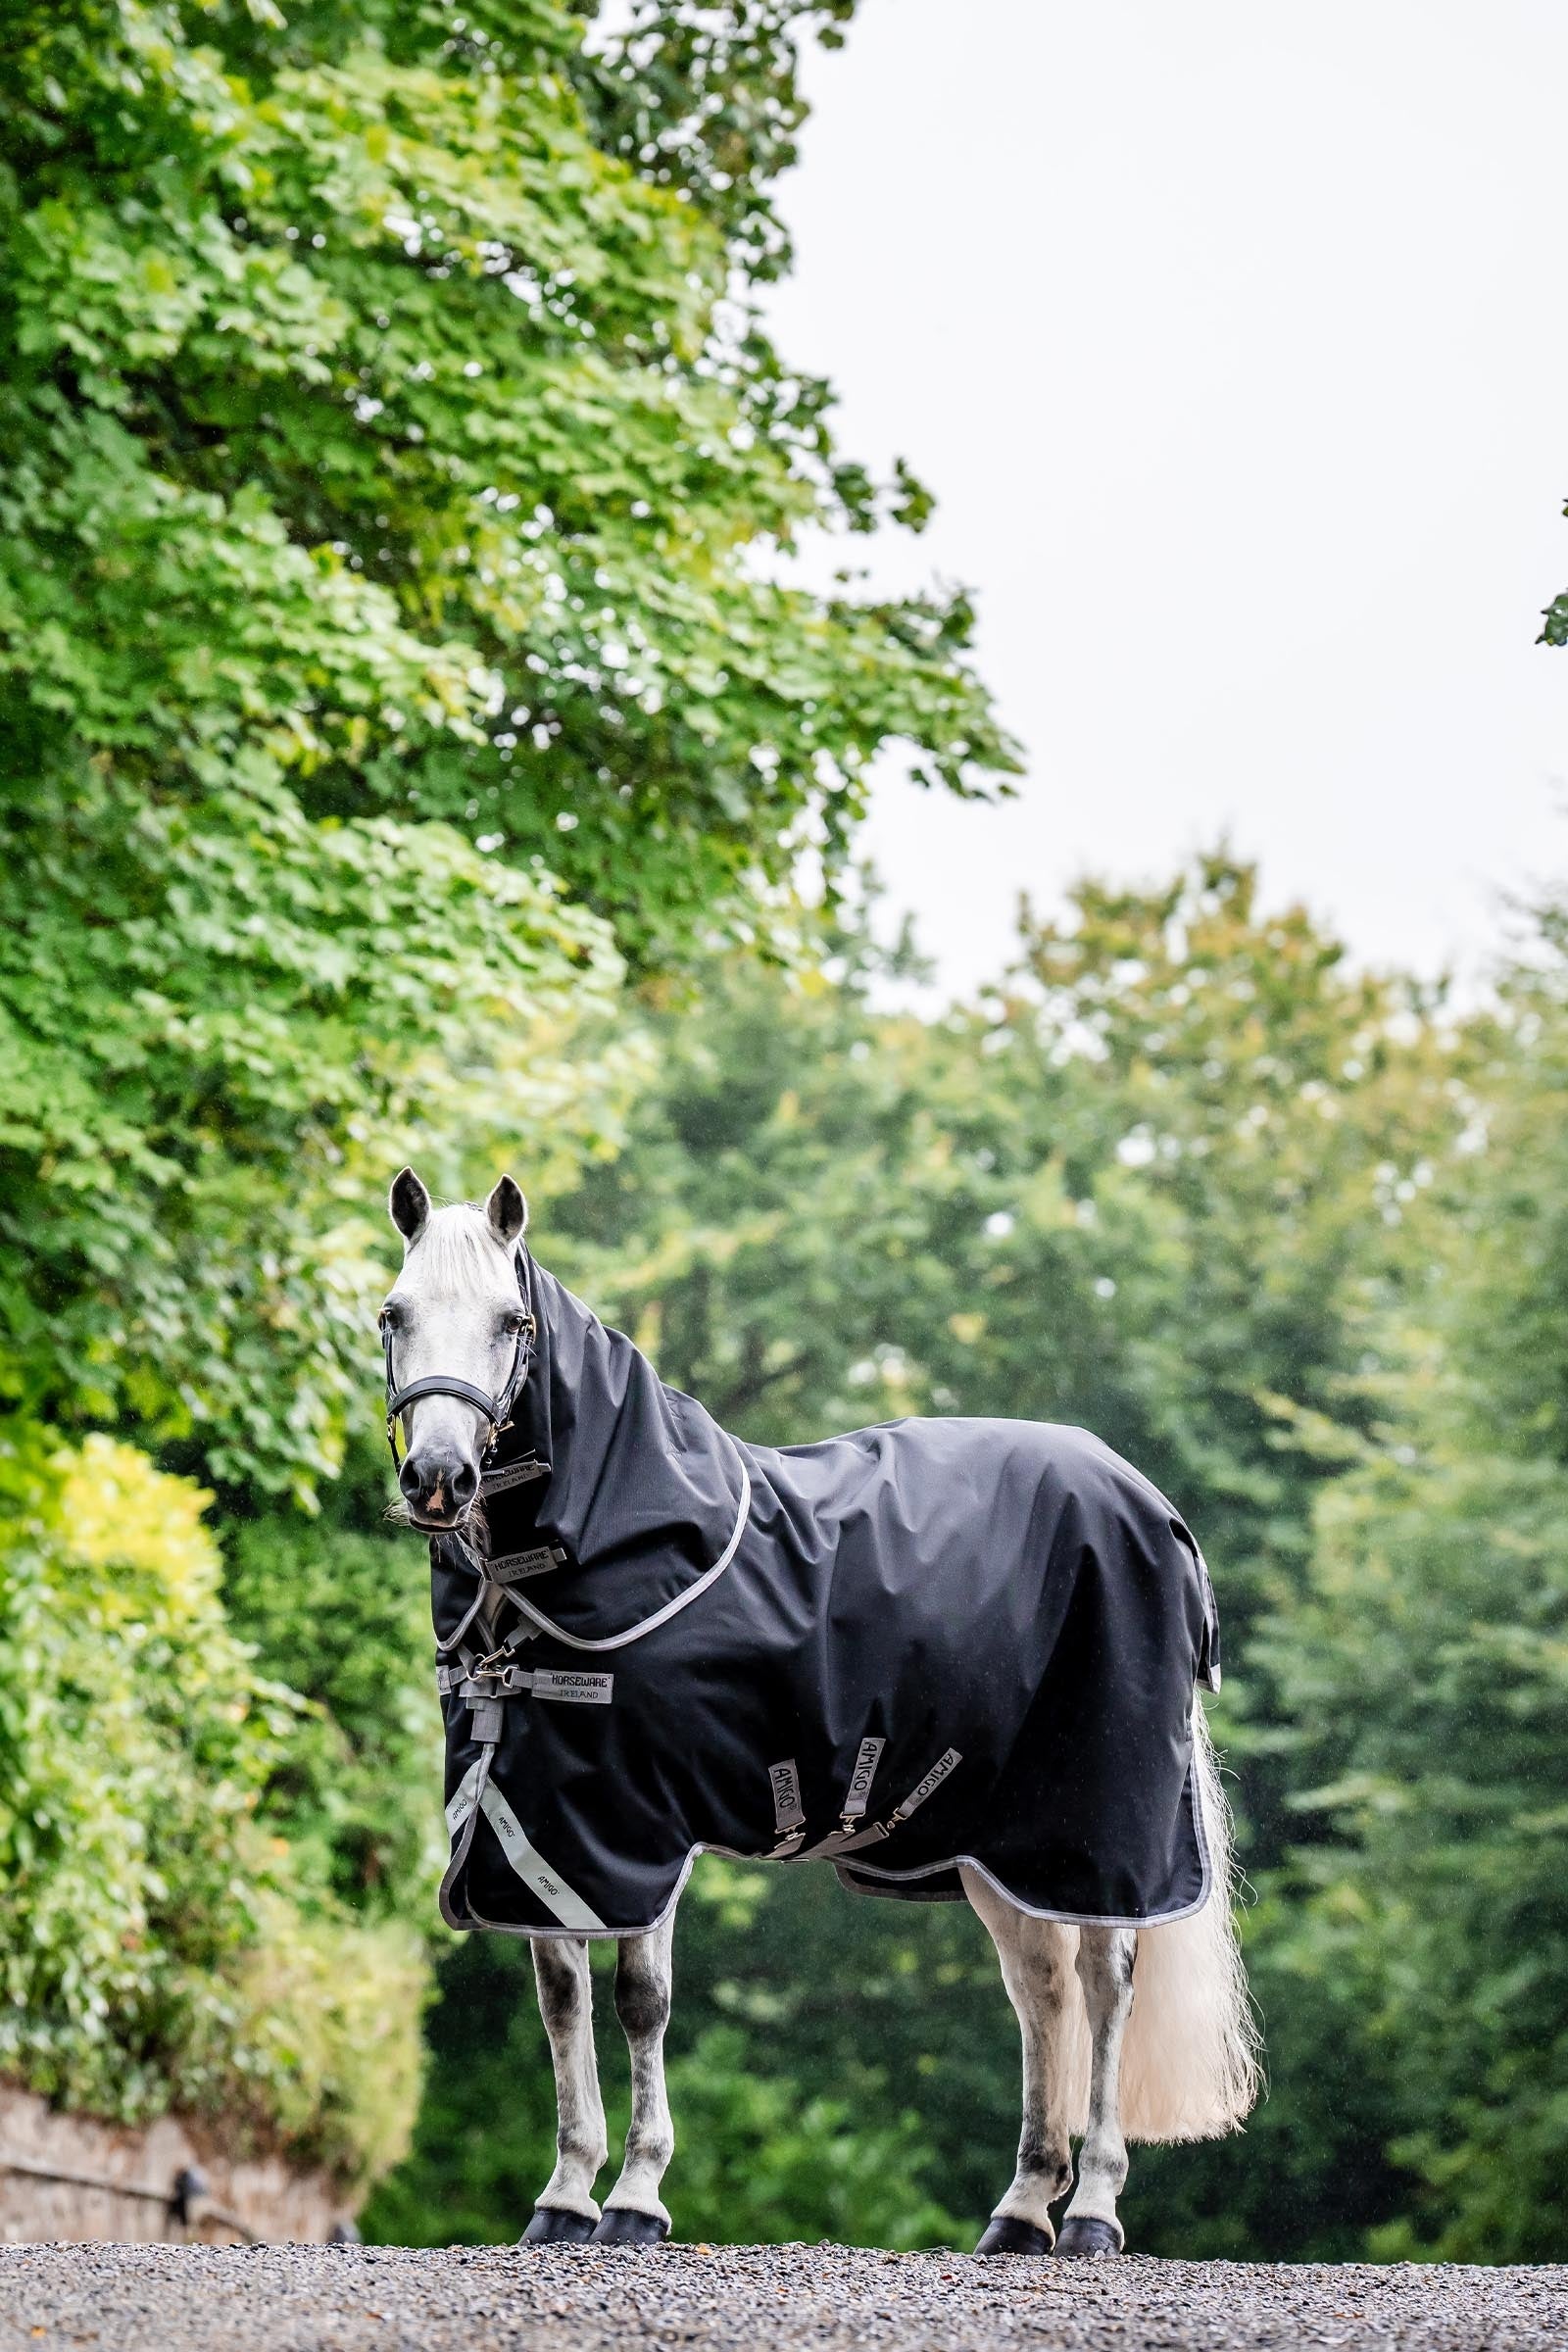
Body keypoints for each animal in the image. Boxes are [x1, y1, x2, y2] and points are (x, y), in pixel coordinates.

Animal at [380, 1169, 1259, 2256]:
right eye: (394, 1314)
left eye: (511, 1322)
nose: (437, 1478)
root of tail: (1153, 1507)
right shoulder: (549, 1828)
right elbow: (561, 2000)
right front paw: (563, 2196)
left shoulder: (642, 1826)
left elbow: (639, 2002)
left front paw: (634, 2198)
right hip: (1006, 1845)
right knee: (1041, 1991)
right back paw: (1020, 2210)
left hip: (1101, 1827)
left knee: (1103, 1984)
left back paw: (1092, 2208)